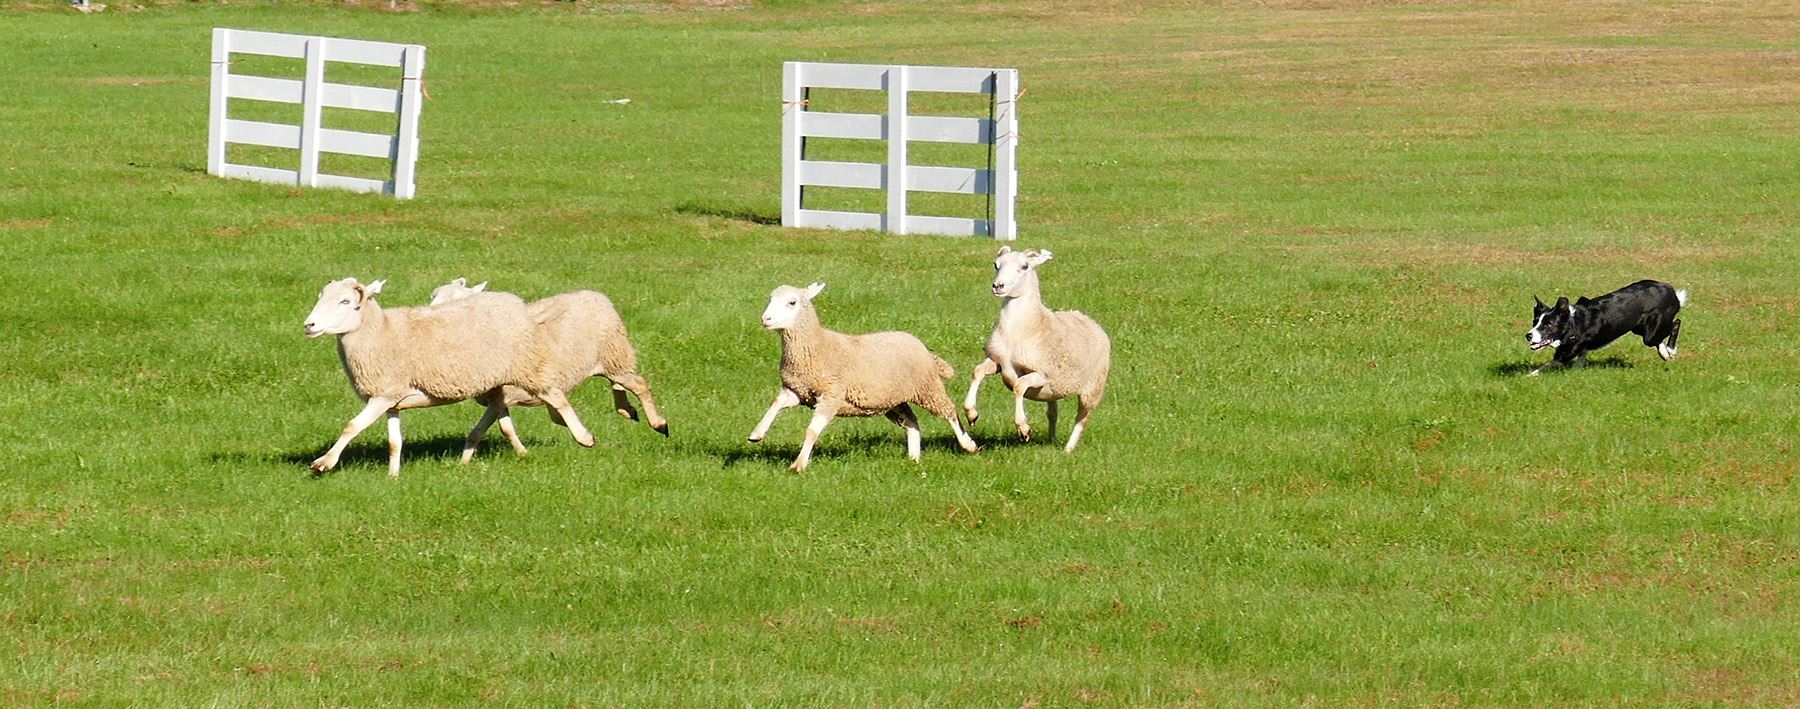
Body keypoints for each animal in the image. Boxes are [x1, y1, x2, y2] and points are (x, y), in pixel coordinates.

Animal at [428, 277, 669, 458]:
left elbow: (490, 429)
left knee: (639, 384)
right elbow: (500, 429)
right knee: (618, 384)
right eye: (434, 297)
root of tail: (596, 295)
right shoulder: (499, 397)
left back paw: (658, 423)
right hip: (612, 360)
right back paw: (627, 409)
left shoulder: (503, 396)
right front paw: (520, 453)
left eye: (457, 301)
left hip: (614, 354)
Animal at [745, 280, 979, 471]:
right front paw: (757, 434)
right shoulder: (798, 390)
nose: (765, 318)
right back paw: (913, 457)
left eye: (792, 302)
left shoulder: (831, 395)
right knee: (912, 421)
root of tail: (922, 347)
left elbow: (811, 431)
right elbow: (775, 404)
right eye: (770, 299)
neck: (815, 345)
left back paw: (968, 444)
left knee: (949, 411)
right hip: (893, 400)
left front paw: (798, 465)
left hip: (927, 388)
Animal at [964, 246, 1101, 451]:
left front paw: (1023, 428)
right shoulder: (997, 362)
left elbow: (1019, 386)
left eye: (1024, 266)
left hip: (1092, 389)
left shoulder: (1042, 375)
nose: (998, 286)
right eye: (996, 265)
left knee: (1081, 418)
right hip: (1054, 390)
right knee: (1053, 413)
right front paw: (971, 412)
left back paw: (1068, 449)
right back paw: (1051, 440)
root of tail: (1086, 317)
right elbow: (977, 371)